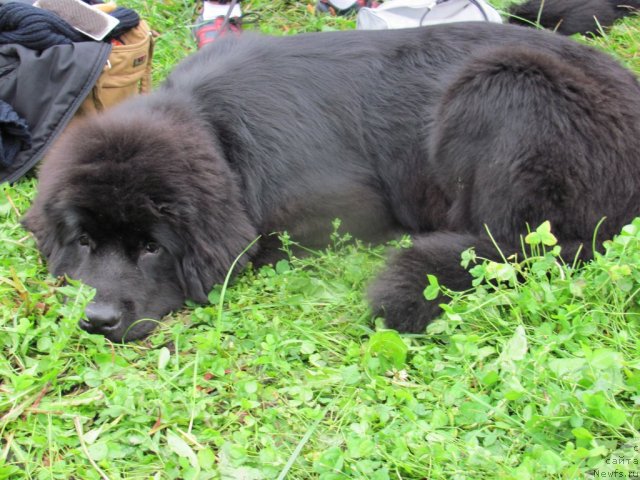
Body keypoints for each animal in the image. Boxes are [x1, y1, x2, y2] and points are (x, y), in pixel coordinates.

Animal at [21, 19, 640, 342]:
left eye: (152, 247)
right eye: (84, 241)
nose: (98, 320)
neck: (213, 127)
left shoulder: (342, 208)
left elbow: (258, 241)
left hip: (505, 84)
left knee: (517, 245)